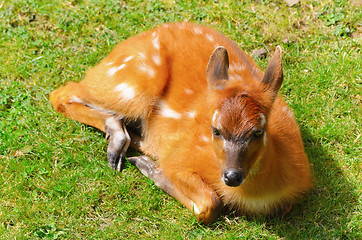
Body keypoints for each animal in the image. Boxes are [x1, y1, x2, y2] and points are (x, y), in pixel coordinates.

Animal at [49, 22, 312, 223]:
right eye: (215, 130)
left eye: (258, 131)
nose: (232, 176)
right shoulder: (181, 156)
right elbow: (210, 204)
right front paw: (152, 168)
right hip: (133, 82)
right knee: (61, 94)